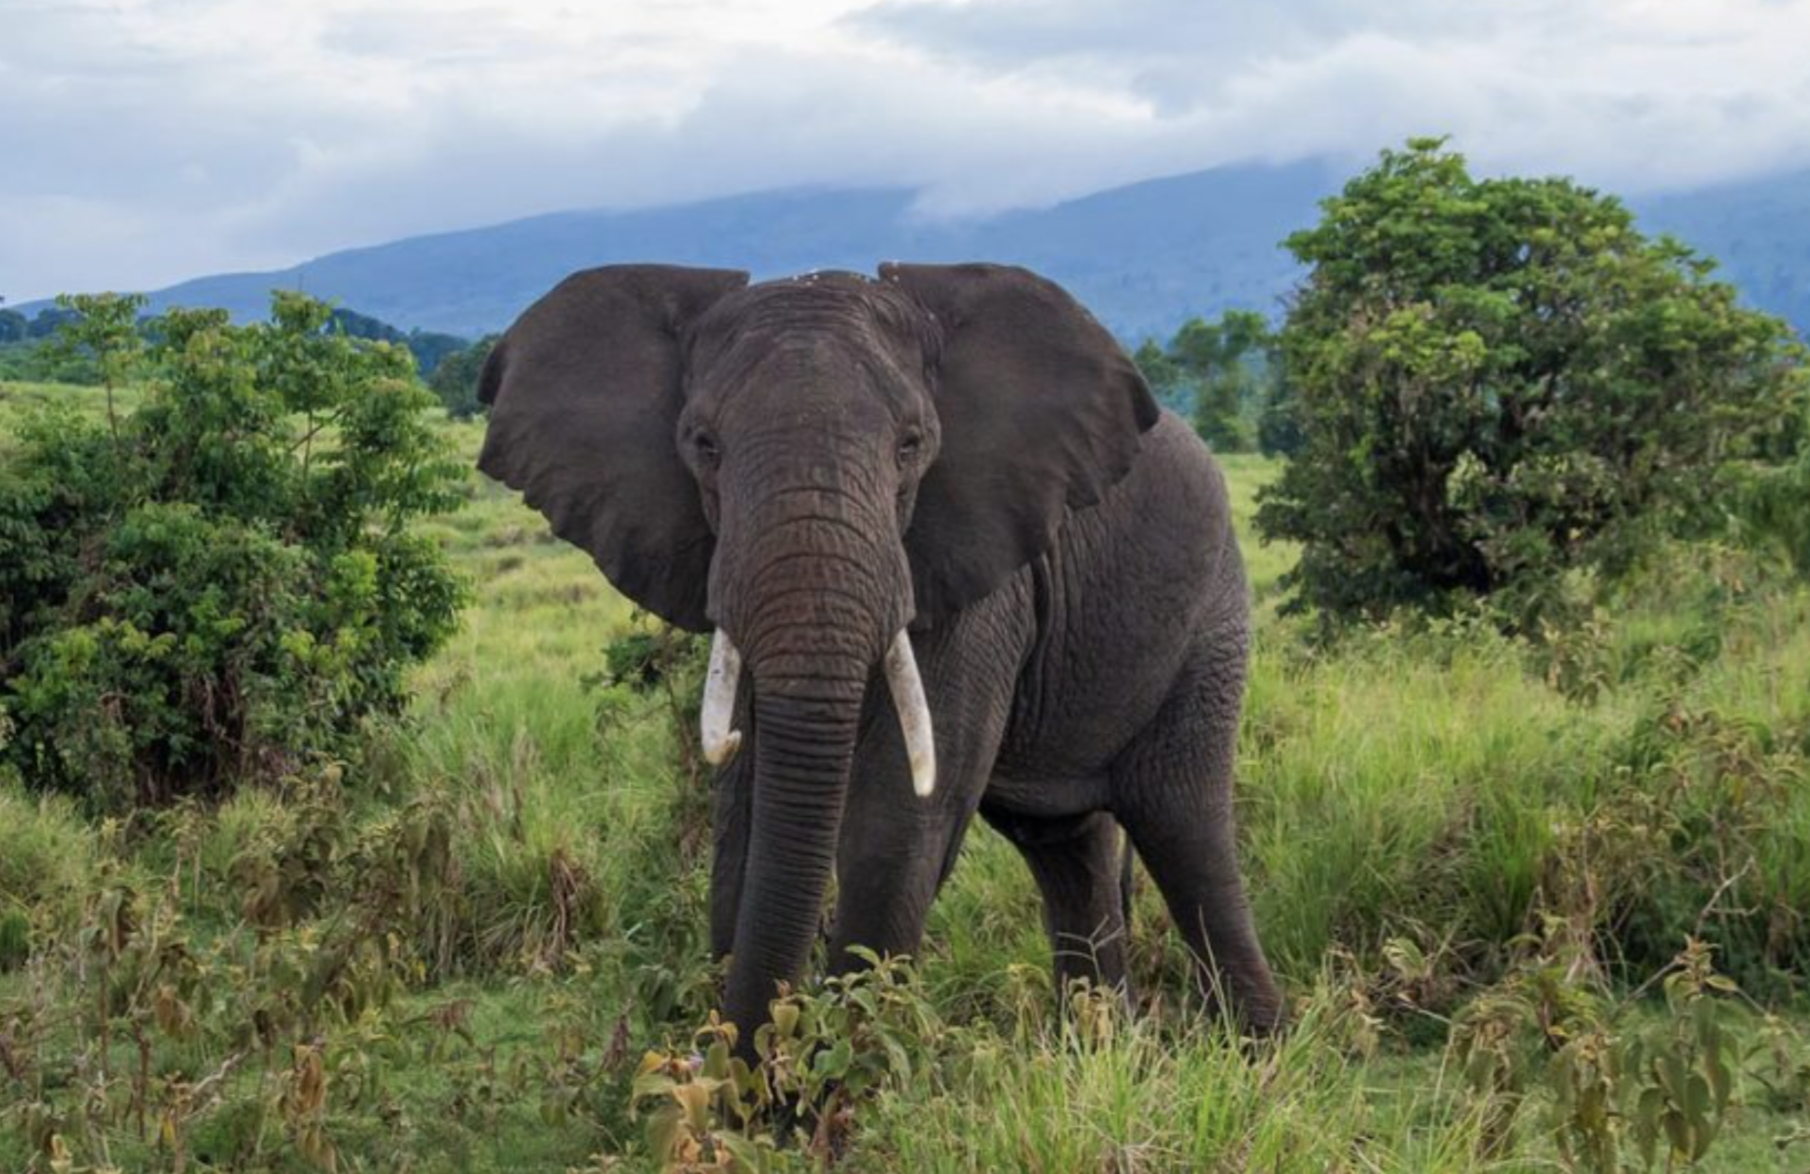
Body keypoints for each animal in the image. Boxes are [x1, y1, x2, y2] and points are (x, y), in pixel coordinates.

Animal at [474, 260, 1281, 1041]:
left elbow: (896, 820)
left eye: (912, 445)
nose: (754, 1046)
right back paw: (1102, 1047)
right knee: (1066, 841)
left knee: (1182, 824)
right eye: (703, 445)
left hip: (1210, 612)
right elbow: (745, 820)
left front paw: (832, 1073)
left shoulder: (978, 568)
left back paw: (1254, 1052)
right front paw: (745, 1075)